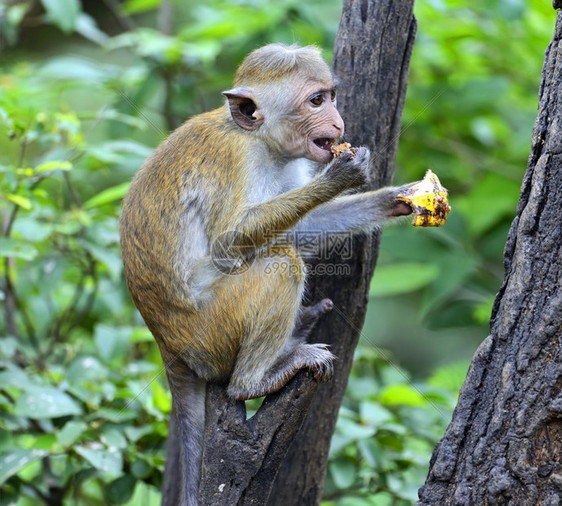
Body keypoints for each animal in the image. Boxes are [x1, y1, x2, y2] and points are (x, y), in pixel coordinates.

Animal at [119, 44, 412, 506]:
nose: (339, 122)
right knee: (280, 264)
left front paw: (393, 199)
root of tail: (166, 342)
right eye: (316, 101)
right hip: (210, 334)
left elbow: (299, 229)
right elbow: (227, 244)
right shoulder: (235, 162)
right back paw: (254, 382)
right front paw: (342, 177)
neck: (260, 140)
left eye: (330, 95)